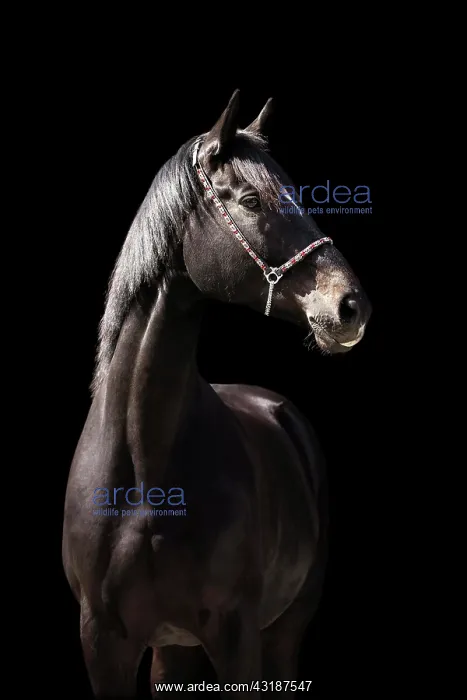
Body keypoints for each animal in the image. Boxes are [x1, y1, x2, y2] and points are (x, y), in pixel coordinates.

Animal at [62, 90, 372, 699]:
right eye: (251, 199)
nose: (351, 307)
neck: (145, 475)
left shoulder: (236, 635)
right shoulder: (102, 642)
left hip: (282, 634)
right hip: (171, 649)